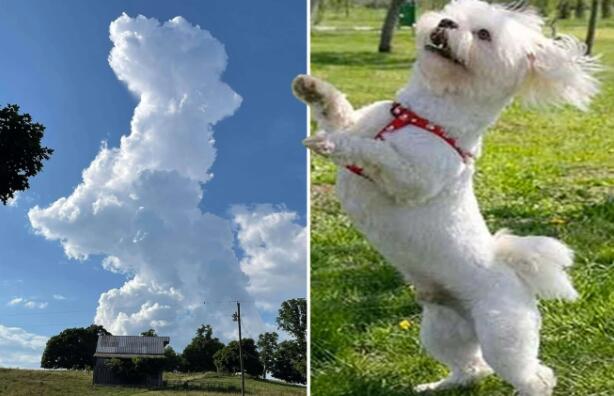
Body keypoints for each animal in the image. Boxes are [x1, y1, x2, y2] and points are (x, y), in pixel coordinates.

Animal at [296, 1, 600, 394]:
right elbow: (336, 110)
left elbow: (375, 152)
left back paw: (527, 386)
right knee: (472, 367)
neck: (421, 115)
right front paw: (311, 88)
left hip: (503, 337)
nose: (445, 23)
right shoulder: (357, 121)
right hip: (442, 331)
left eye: (483, 34)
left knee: (535, 375)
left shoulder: (412, 177)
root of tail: (514, 274)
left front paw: (332, 145)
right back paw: (439, 385)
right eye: (452, 14)